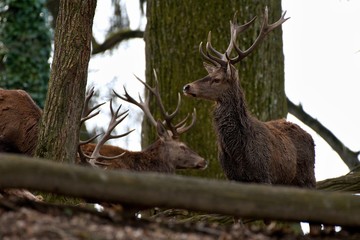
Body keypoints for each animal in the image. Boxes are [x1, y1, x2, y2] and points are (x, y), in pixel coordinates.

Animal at [183, 7, 316, 189]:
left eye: (217, 79)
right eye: (208, 74)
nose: (187, 86)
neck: (238, 151)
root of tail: (311, 137)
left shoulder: (264, 174)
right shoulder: (232, 176)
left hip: (308, 176)